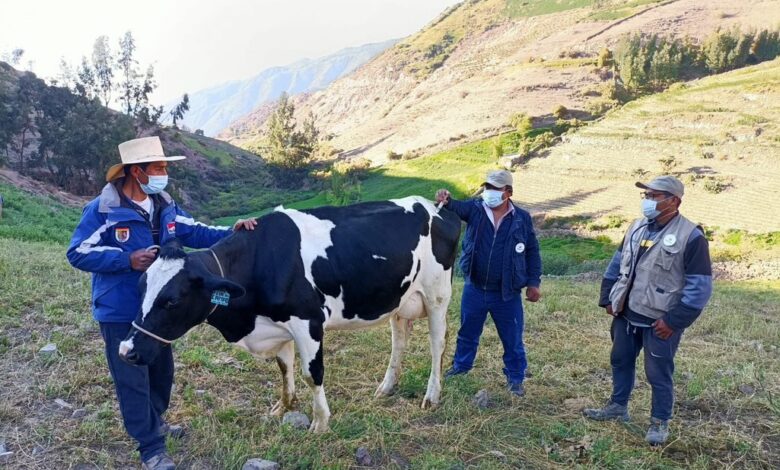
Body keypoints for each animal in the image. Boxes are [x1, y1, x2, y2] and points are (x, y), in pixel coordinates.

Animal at [119, 196, 460, 432]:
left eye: (172, 300)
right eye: (140, 287)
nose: (126, 351)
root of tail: (434, 206)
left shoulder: (308, 321)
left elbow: (312, 373)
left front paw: (320, 422)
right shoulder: (279, 326)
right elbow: (284, 368)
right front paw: (283, 407)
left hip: (437, 295)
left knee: (437, 345)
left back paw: (431, 396)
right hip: (400, 301)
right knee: (399, 342)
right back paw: (386, 388)